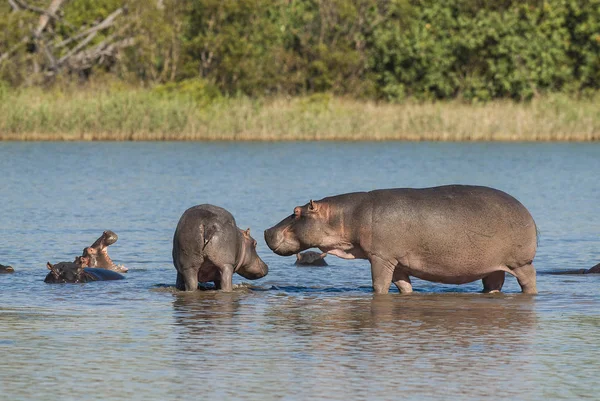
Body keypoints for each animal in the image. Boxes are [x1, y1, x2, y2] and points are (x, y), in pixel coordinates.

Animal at [264, 184, 536, 294]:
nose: (266, 231)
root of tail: (526, 210)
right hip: (493, 268)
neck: (345, 216)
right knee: (493, 285)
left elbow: (379, 285)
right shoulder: (397, 262)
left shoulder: (380, 257)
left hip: (521, 263)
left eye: (297, 211)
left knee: (529, 282)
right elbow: (403, 286)